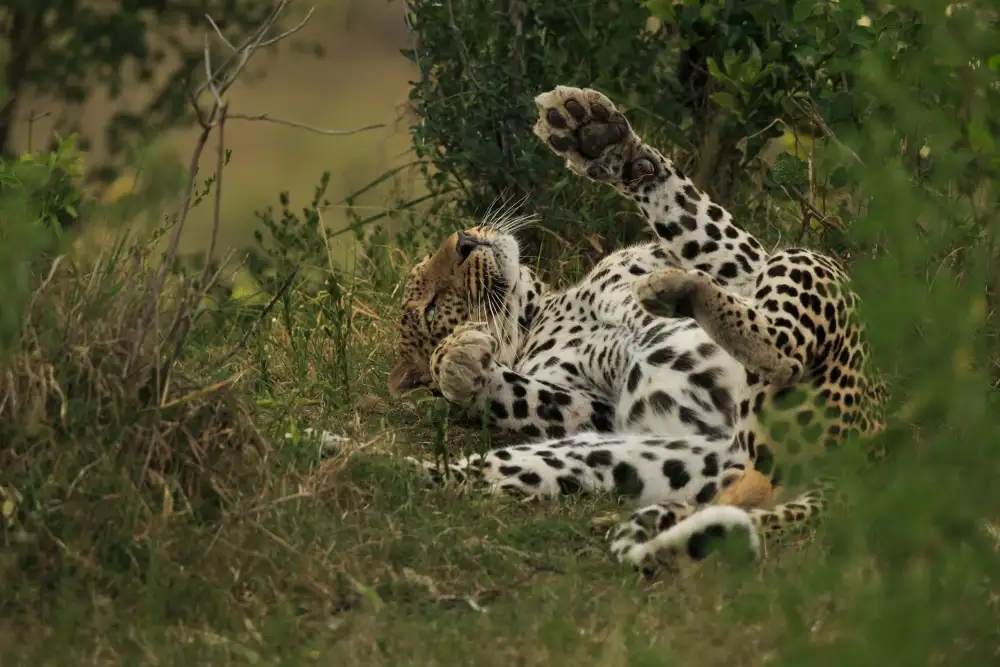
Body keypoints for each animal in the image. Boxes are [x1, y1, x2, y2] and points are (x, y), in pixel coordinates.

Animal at [386, 85, 887, 573]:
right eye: (431, 307)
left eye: (438, 254)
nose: (464, 241)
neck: (544, 308)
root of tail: (861, 464)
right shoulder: (593, 410)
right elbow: (527, 394)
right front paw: (457, 362)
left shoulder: (746, 266)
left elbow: (689, 213)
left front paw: (593, 133)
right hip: (629, 455)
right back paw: (382, 466)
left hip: (806, 267)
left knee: (782, 338)